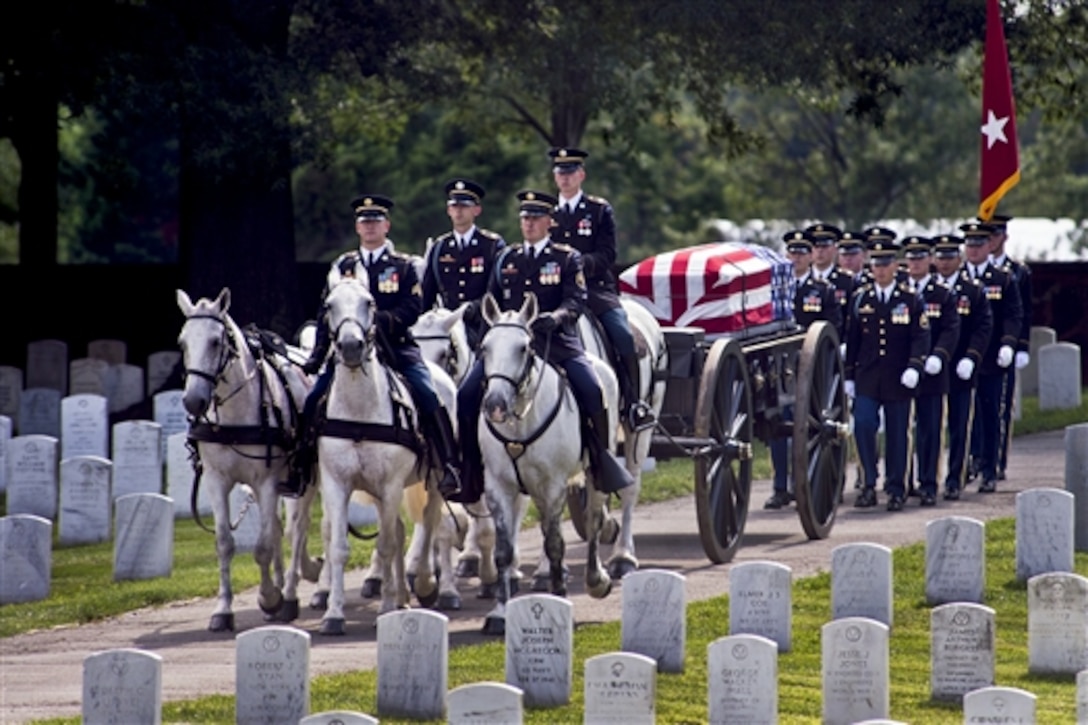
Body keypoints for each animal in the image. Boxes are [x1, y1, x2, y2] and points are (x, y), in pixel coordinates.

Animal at [175, 285, 317, 631]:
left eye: (216, 341)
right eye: (183, 343)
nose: (194, 401)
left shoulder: (266, 482)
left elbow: (263, 547)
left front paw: (269, 596)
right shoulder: (217, 481)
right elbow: (226, 543)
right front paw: (223, 610)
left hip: (307, 479)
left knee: (298, 529)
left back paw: (291, 593)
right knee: (281, 529)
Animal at [313, 264, 448, 631]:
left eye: (369, 302)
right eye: (329, 305)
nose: (350, 346)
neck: (360, 411)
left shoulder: (390, 486)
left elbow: (386, 545)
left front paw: (386, 607)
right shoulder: (338, 484)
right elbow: (339, 547)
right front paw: (333, 613)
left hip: (432, 481)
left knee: (429, 523)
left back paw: (424, 586)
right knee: (401, 531)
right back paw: (402, 595)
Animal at [474, 291, 617, 631]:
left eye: (523, 347)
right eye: (485, 347)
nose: (495, 405)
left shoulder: (553, 487)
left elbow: (555, 545)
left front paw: (560, 599)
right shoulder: (498, 487)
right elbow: (504, 551)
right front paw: (500, 612)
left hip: (593, 475)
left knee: (593, 520)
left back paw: (596, 579)